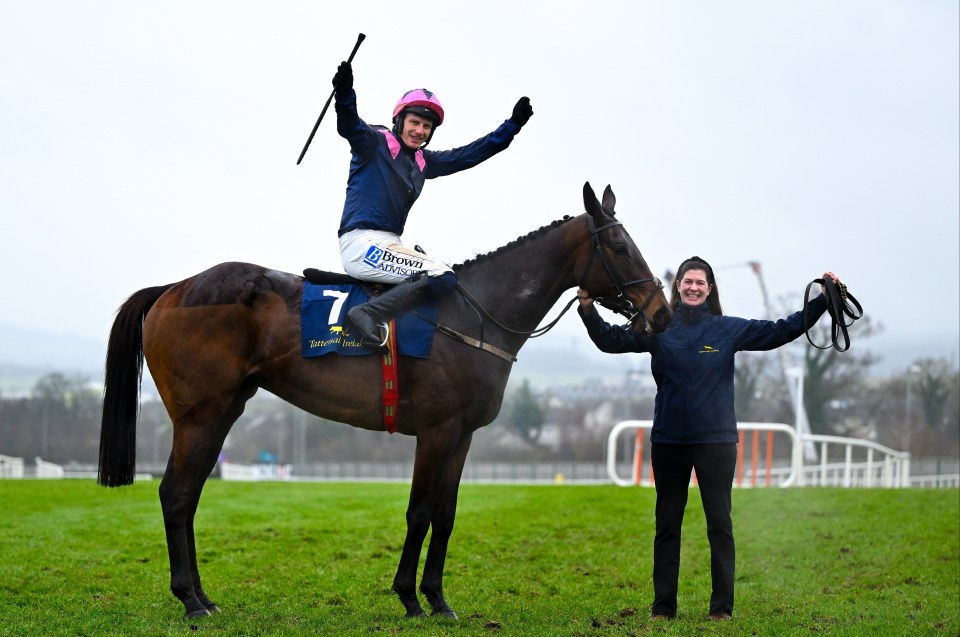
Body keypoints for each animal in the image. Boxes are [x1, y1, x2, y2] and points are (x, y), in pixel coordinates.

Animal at [95, 181, 668, 620]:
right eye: (620, 247)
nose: (660, 313)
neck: (475, 315)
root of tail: (175, 288)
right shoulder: (436, 431)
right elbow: (420, 512)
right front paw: (410, 599)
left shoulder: (462, 436)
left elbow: (446, 515)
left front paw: (438, 600)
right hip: (201, 415)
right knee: (175, 494)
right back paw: (191, 601)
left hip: (224, 411)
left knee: (188, 495)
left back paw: (202, 596)